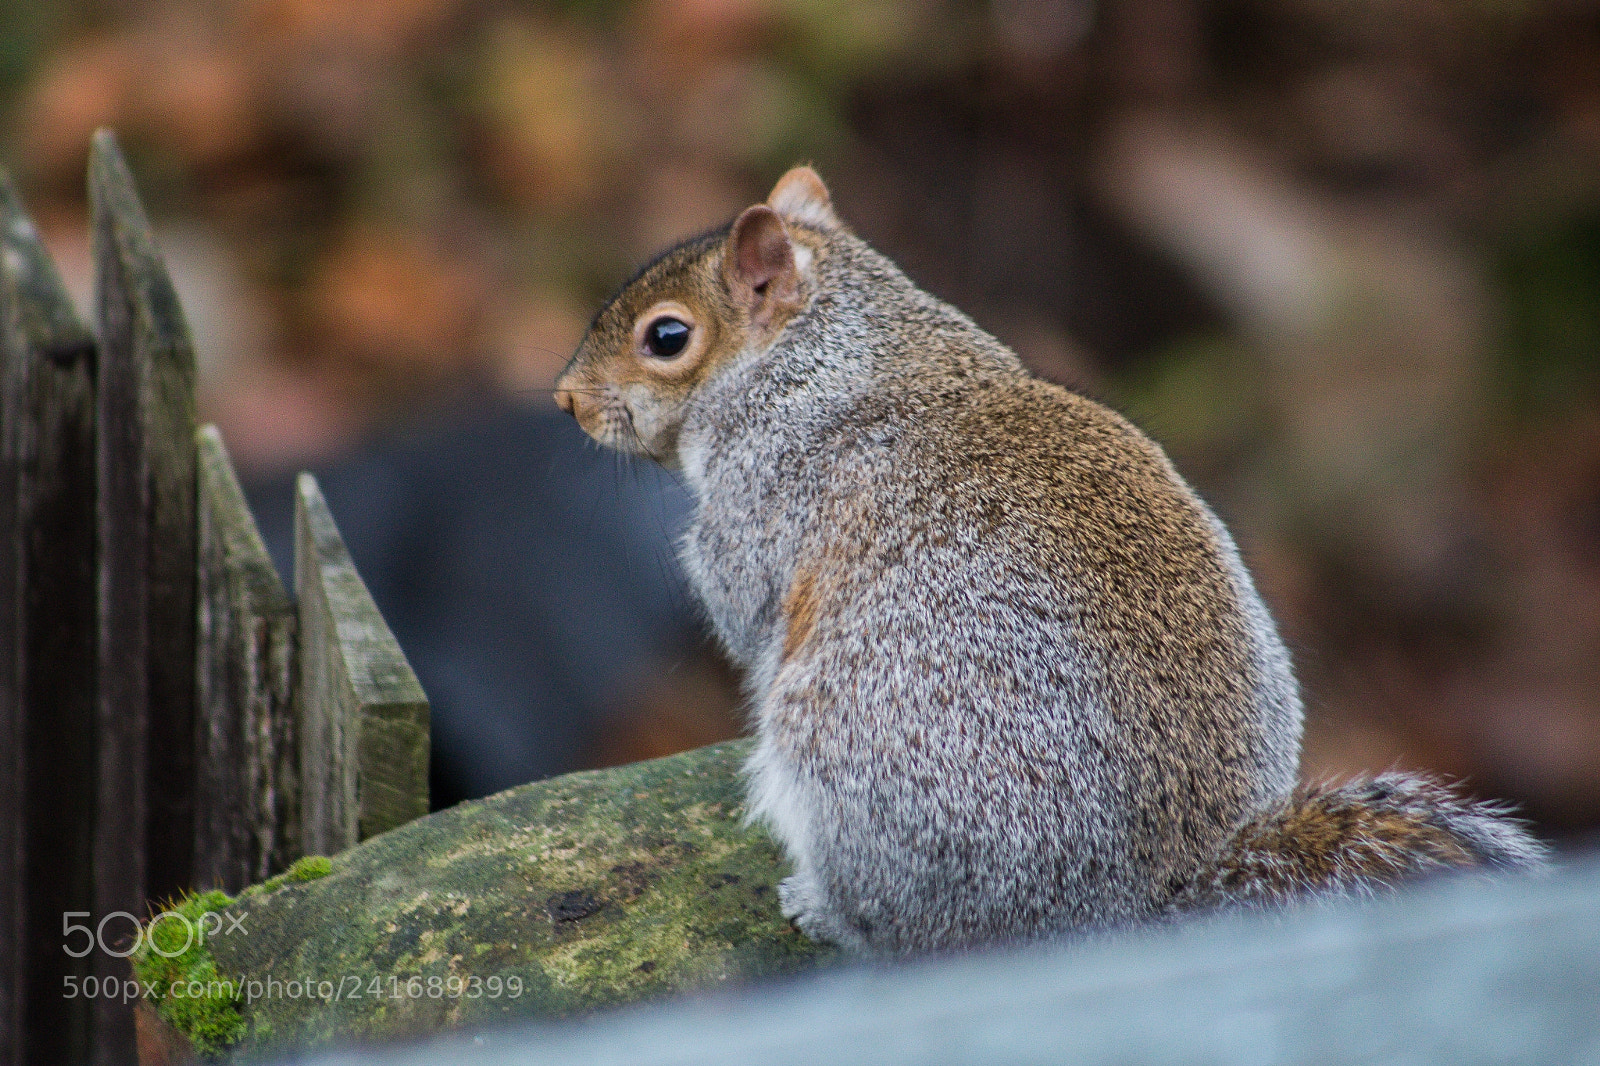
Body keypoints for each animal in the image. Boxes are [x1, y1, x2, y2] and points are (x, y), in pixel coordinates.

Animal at [553, 166, 1547, 954]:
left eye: (667, 337)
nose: (564, 399)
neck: (828, 359)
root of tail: (1134, 912)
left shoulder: (764, 510)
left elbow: (742, 604)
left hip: (844, 760)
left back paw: (828, 913)